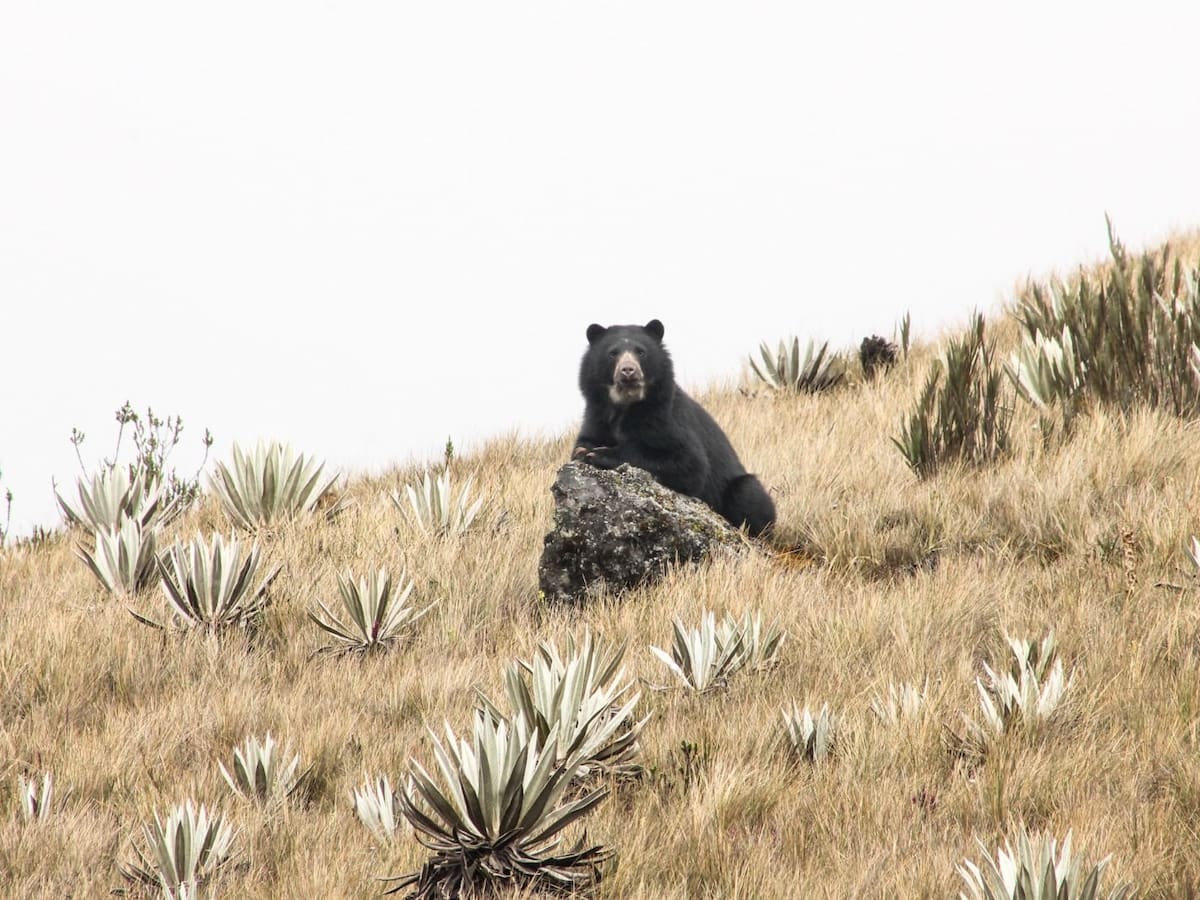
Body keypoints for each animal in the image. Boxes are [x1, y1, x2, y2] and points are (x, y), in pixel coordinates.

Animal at [572, 318, 776, 537]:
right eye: (613, 353)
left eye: (641, 351)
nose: (628, 370)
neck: (625, 407)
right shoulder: (596, 416)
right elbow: (583, 441)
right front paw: (584, 450)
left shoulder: (666, 419)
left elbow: (690, 463)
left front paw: (599, 454)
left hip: (742, 488)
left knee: (747, 493)